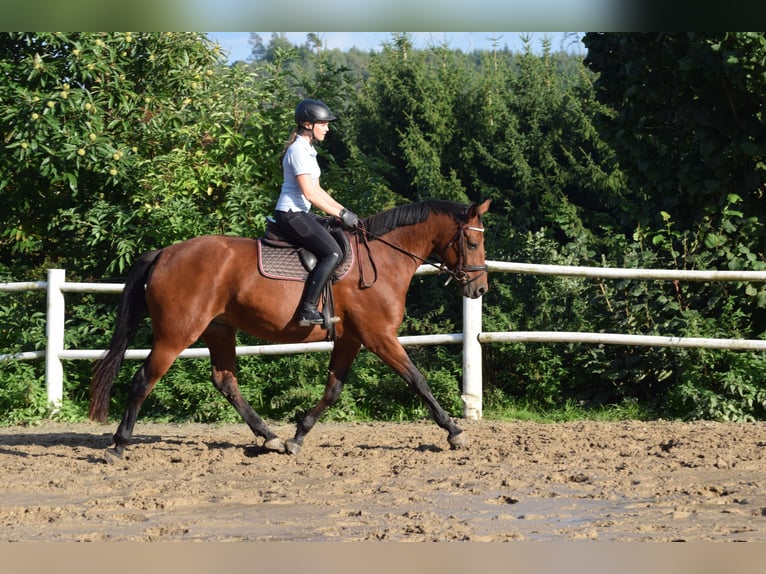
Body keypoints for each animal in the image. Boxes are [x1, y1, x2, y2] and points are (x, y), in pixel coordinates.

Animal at [89, 199, 491, 457]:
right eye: (472, 242)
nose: (479, 289)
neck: (384, 257)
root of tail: (164, 253)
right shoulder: (379, 337)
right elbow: (417, 380)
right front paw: (454, 431)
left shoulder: (351, 339)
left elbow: (333, 390)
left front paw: (298, 436)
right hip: (176, 334)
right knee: (144, 379)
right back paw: (119, 444)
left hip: (219, 329)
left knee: (225, 381)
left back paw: (269, 437)